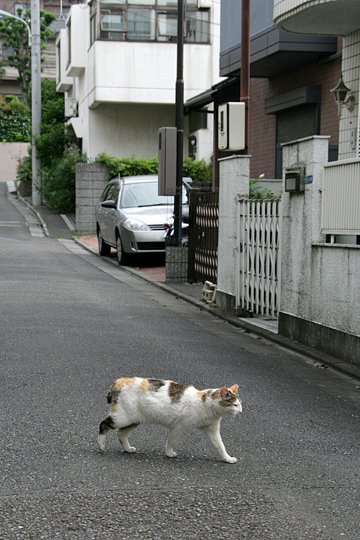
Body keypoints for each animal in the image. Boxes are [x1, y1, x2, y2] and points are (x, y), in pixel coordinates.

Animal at [98, 378, 242, 462]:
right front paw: (169, 453)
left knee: (120, 433)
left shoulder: (212, 429)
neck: (206, 404)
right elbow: (171, 441)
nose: (241, 411)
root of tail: (120, 381)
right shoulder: (179, 427)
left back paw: (128, 449)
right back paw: (101, 445)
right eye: (235, 405)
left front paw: (227, 458)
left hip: (135, 420)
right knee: (103, 424)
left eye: (240, 404)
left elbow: (220, 446)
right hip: (122, 417)